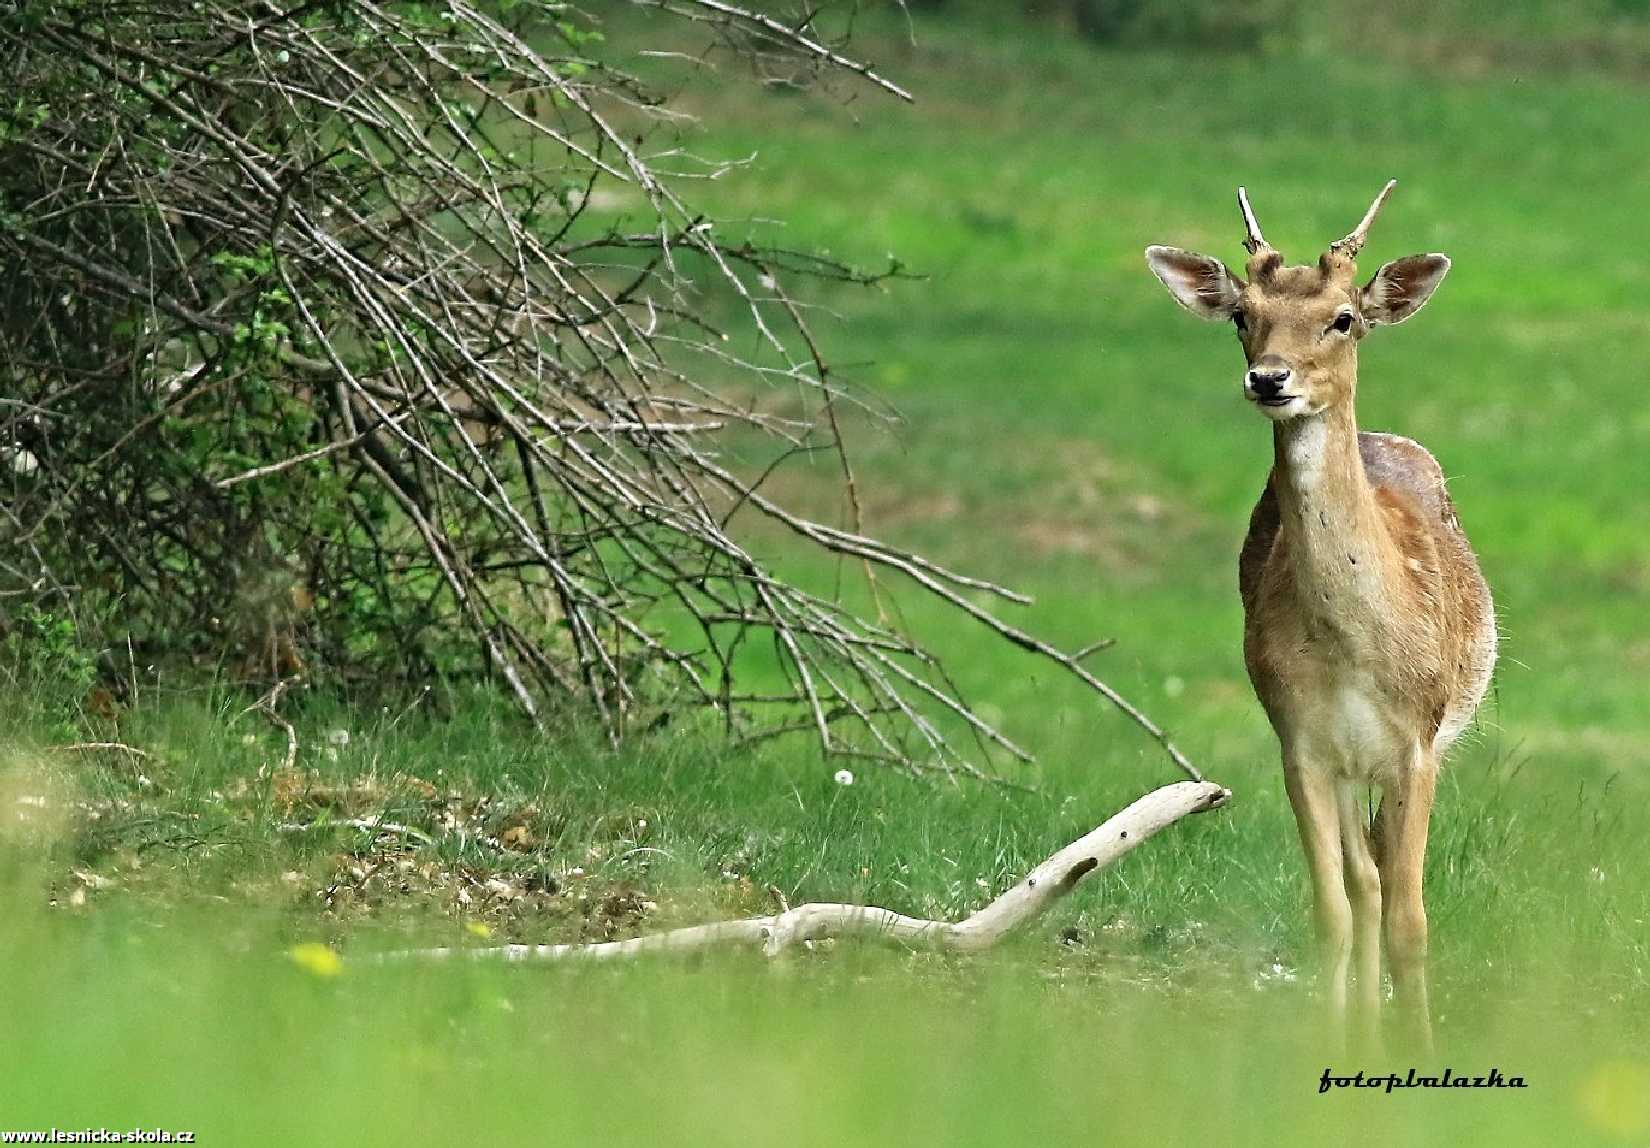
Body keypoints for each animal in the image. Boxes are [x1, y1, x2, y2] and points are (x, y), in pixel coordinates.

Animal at [1141, 181, 1504, 1049]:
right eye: (1243, 315)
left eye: (1343, 318)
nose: (1270, 379)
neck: (1353, 654)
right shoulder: (1300, 740)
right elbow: (1334, 912)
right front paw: (1332, 1043)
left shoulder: (1418, 744)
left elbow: (1413, 921)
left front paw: (1421, 1051)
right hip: (1342, 766)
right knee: (1363, 880)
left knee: (1384, 879)